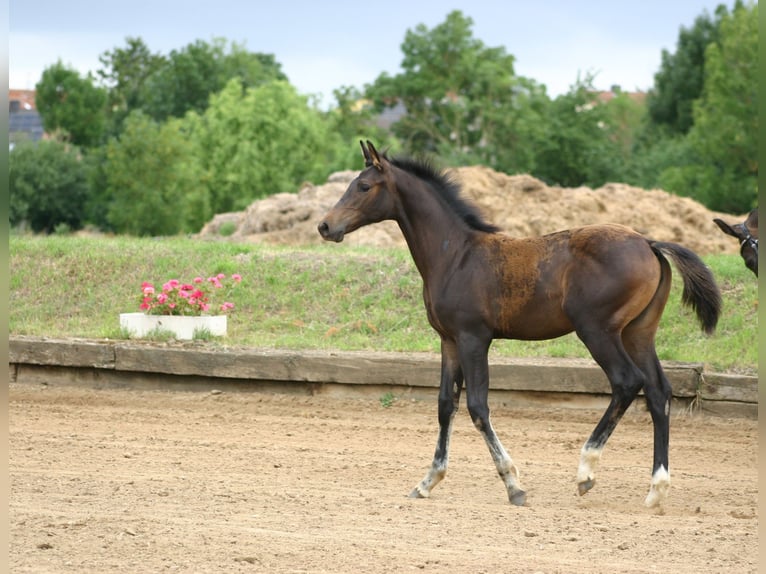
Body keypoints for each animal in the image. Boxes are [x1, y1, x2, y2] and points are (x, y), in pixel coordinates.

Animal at [318, 141, 722, 508]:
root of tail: (650, 243)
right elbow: (446, 404)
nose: (325, 226)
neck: (455, 255)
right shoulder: (449, 340)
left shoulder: (473, 338)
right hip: (638, 333)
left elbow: (477, 406)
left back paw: (586, 472)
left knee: (627, 382)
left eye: (363, 186)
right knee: (658, 391)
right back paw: (656, 489)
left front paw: (514, 485)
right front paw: (427, 481)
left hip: (598, 331)